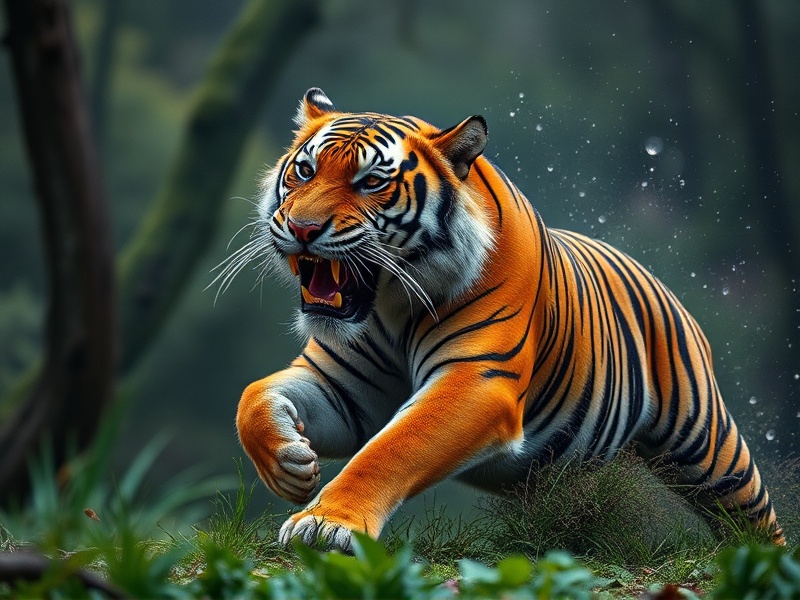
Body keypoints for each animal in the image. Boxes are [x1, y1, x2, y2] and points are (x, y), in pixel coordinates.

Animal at [230, 87, 784, 551]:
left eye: (370, 183)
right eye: (305, 172)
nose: (302, 228)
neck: (389, 304)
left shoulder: (478, 377)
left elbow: (391, 448)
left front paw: (326, 524)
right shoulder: (341, 386)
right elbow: (251, 397)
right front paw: (291, 466)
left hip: (705, 443)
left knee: (753, 512)